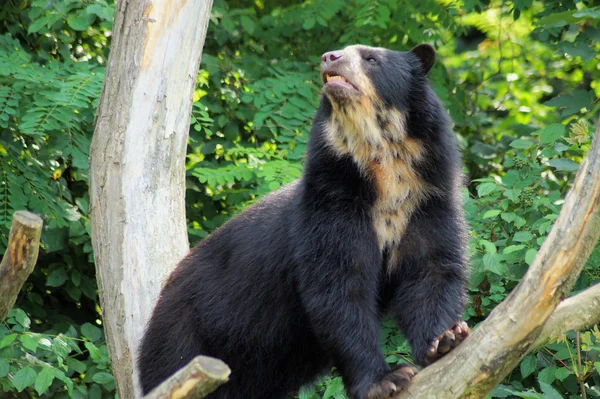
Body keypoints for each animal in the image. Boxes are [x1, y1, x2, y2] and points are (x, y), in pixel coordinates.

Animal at [138, 43, 472, 399]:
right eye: (343, 53)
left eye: (371, 58)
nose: (330, 57)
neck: (383, 168)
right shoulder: (330, 204)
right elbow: (338, 289)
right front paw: (387, 379)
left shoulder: (427, 201)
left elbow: (430, 272)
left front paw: (447, 338)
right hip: (186, 335)